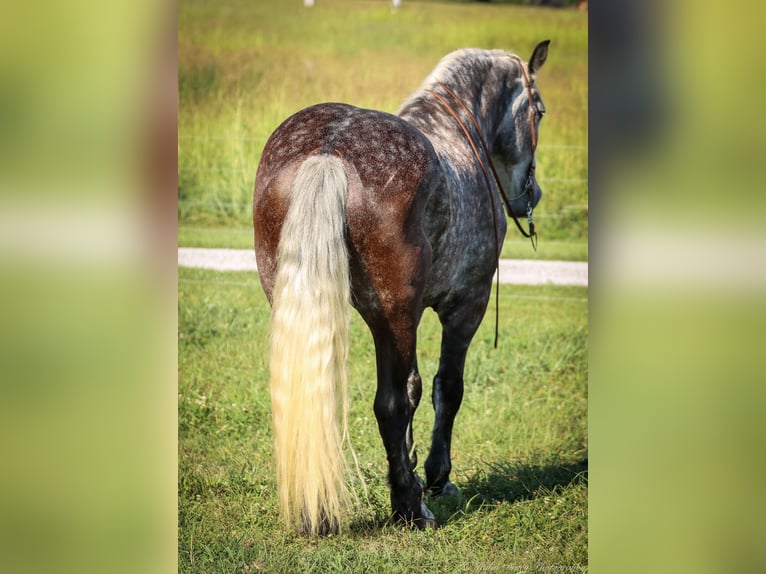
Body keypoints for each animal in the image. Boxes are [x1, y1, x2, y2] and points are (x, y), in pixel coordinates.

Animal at [255, 39, 548, 536]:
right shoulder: (465, 307)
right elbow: (445, 388)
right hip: (394, 312)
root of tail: (328, 152)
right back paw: (411, 507)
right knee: (393, 401)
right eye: (539, 112)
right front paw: (435, 478)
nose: (533, 195)